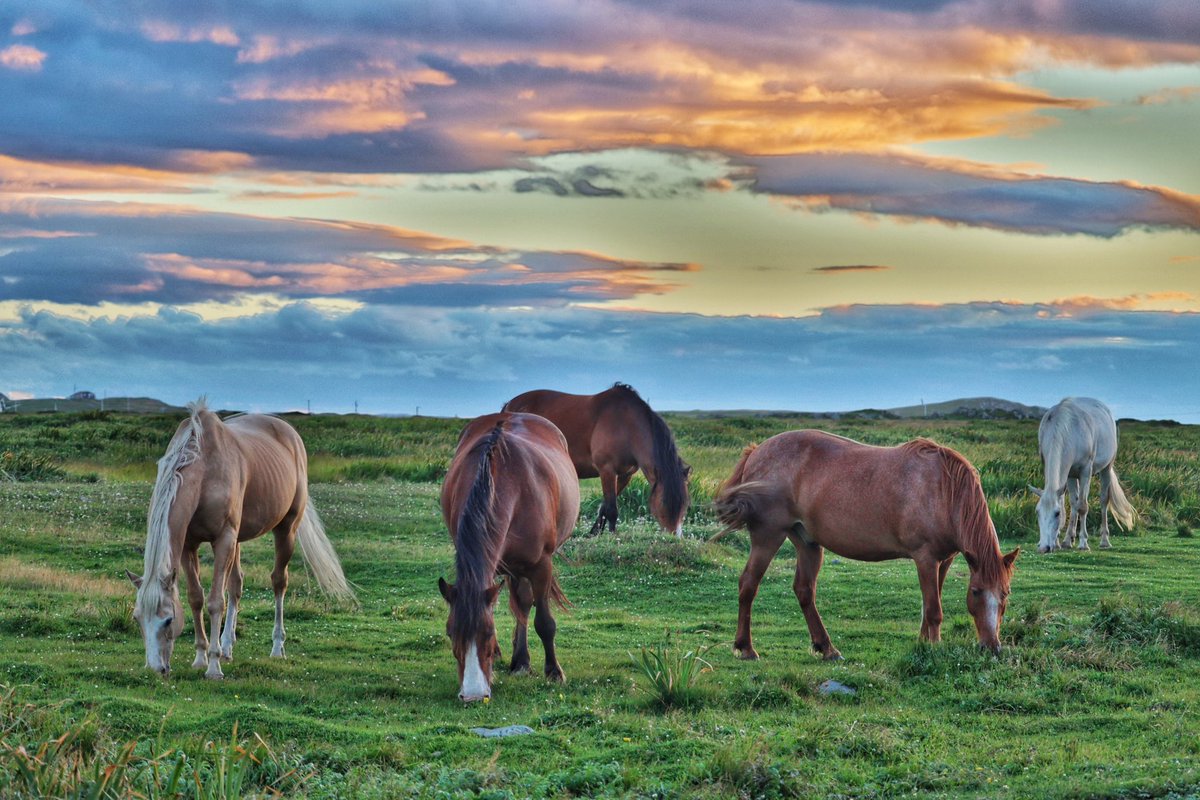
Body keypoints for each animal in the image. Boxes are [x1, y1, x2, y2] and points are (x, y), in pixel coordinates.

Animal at [126, 398, 354, 679]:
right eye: (137, 618)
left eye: (168, 619)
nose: (154, 668)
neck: (204, 471)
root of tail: (288, 432)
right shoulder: (189, 545)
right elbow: (196, 597)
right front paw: (201, 657)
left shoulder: (224, 538)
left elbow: (216, 602)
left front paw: (213, 667)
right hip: (239, 540)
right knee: (236, 584)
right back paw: (227, 646)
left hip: (285, 529)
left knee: (279, 582)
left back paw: (276, 647)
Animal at [438, 412, 580, 703]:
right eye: (449, 631)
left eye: (488, 632)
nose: (473, 694)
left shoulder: (541, 565)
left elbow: (544, 622)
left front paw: (554, 671)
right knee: (521, 605)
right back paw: (520, 660)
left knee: (525, 606)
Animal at [502, 383, 690, 536]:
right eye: (664, 502)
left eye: (686, 504)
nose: (675, 537)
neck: (627, 425)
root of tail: (509, 406)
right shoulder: (607, 470)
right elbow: (612, 508)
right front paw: (613, 537)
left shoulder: (625, 475)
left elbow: (604, 507)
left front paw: (595, 532)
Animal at [711, 430, 1019, 657]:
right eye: (976, 592)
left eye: (1005, 594)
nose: (991, 647)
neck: (944, 488)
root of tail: (756, 451)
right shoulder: (926, 558)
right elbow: (933, 610)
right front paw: (933, 648)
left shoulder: (944, 559)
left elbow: (930, 605)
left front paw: (924, 642)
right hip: (768, 536)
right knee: (749, 583)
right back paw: (746, 648)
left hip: (807, 543)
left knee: (804, 591)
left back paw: (827, 648)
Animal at [1028, 397, 1136, 553]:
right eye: (1037, 512)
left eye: (1056, 513)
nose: (1043, 548)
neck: (1066, 428)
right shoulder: (1068, 473)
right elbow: (1071, 503)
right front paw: (1060, 541)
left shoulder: (1085, 471)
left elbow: (1083, 507)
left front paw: (1083, 542)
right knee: (1075, 502)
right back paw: (1069, 539)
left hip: (1106, 468)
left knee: (1104, 500)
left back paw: (1104, 540)